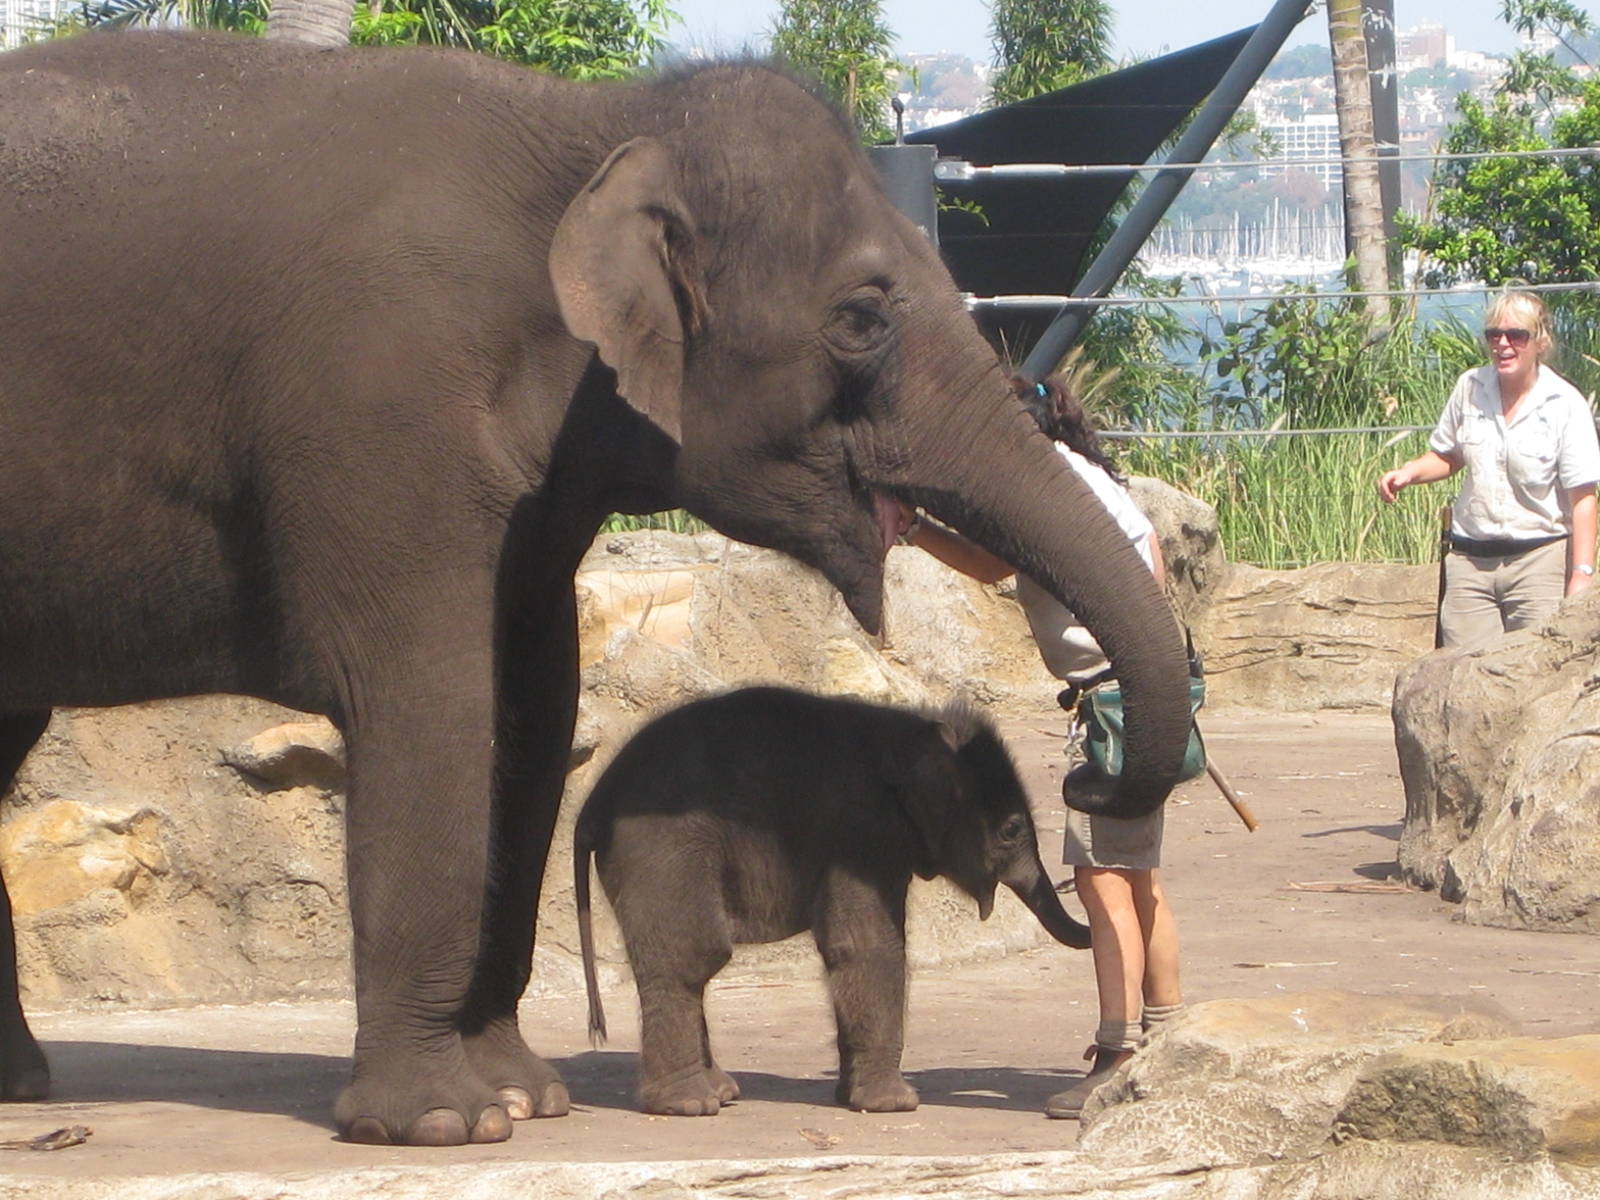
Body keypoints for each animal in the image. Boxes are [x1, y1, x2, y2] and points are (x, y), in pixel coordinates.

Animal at [573, 686, 1089, 1116]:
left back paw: (722, 1092)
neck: (910, 729)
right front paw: (894, 1105)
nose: (1073, 883)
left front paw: (855, 1099)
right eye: (1011, 830)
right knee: (693, 953)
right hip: (665, 847)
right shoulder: (859, 832)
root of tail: (593, 804)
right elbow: (868, 945)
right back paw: (691, 1105)